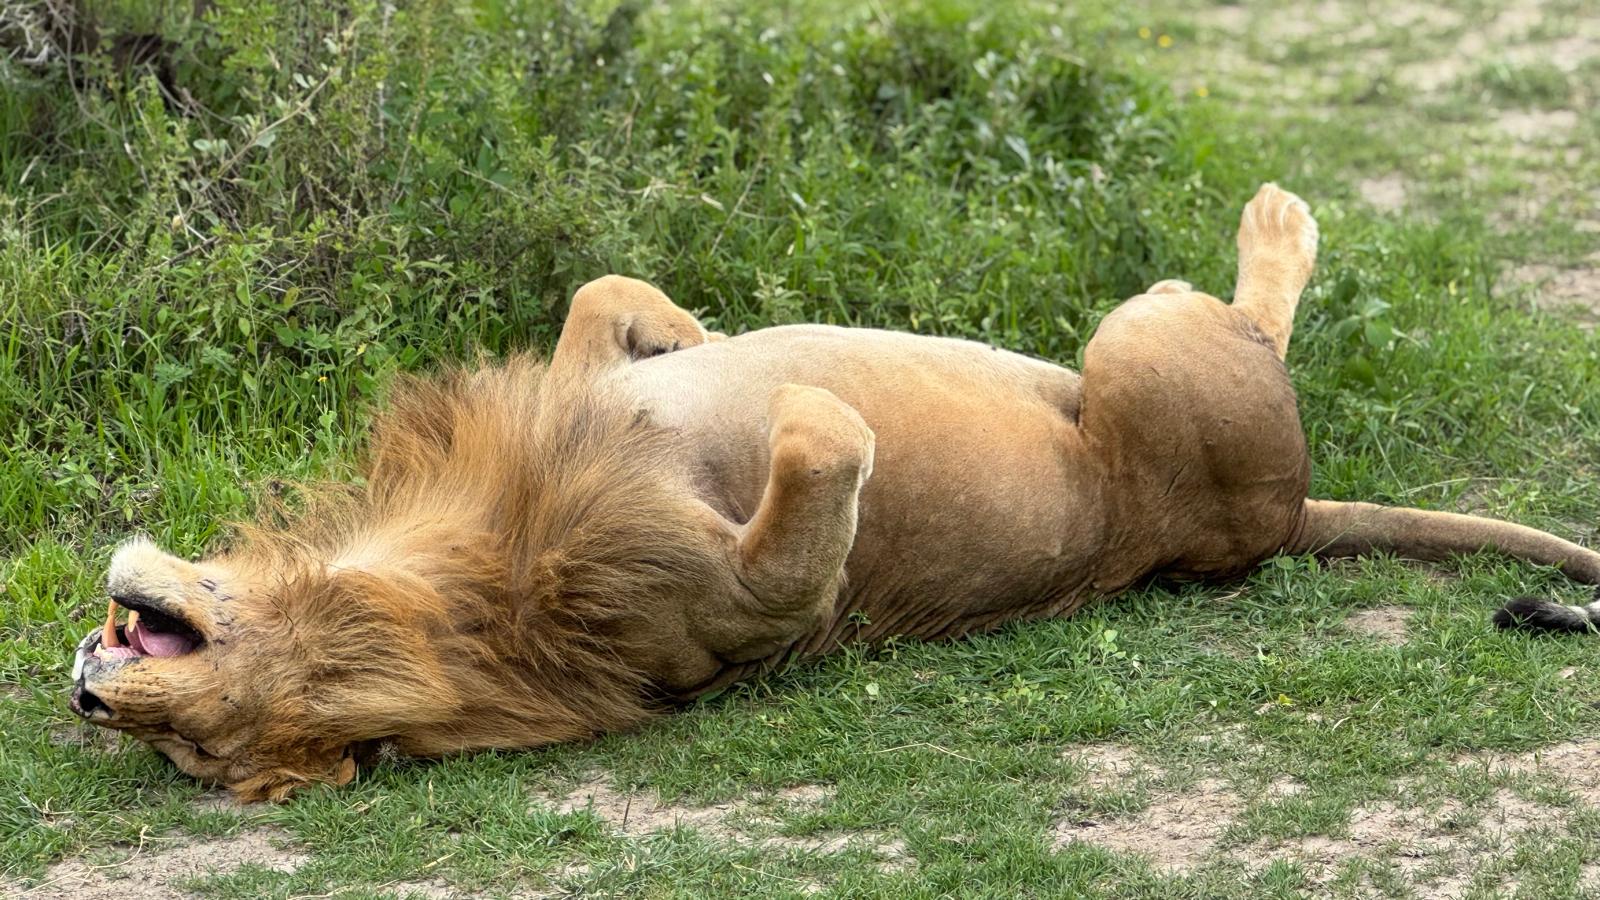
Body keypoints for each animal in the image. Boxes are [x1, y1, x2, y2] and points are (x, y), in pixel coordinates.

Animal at [67, 184, 1600, 801]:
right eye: (194, 755)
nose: (86, 691)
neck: (438, 577)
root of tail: (1282, 524)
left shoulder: (584, 381)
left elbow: (604, 298)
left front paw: (695, 334)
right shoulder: (740, 599)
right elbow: (821, 467)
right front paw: (817, 404)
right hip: (1139, 355)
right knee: (1241, 323)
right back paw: (1270, 223)